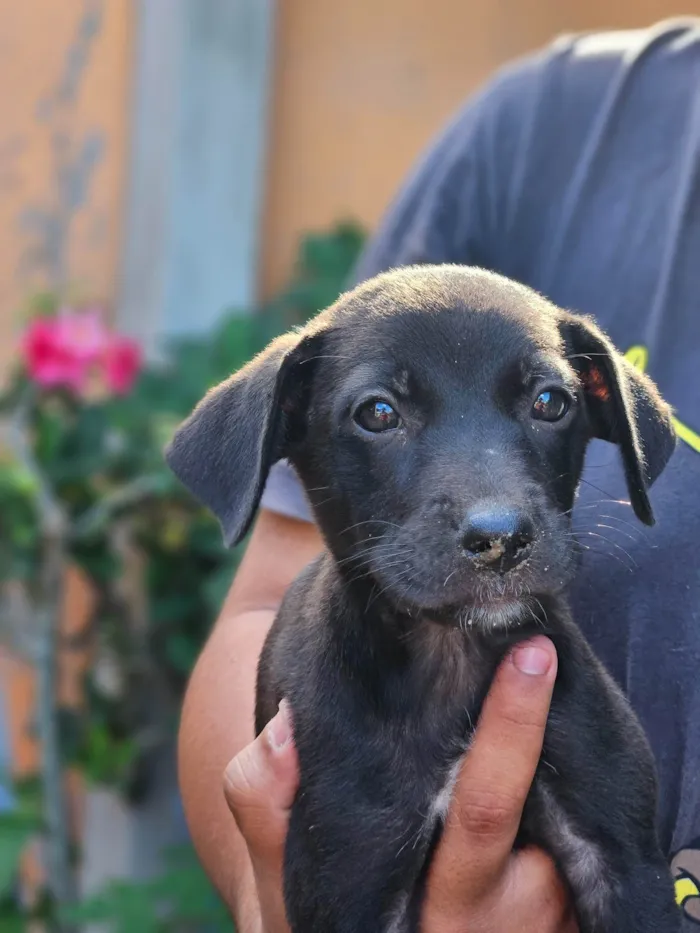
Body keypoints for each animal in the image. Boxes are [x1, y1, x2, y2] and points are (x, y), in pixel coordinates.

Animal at [167, 264, 680, 932]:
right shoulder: (353, 877)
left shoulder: (622, 855)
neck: (452, 658)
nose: (500, 538)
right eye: (378, 413)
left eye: (550, 403)